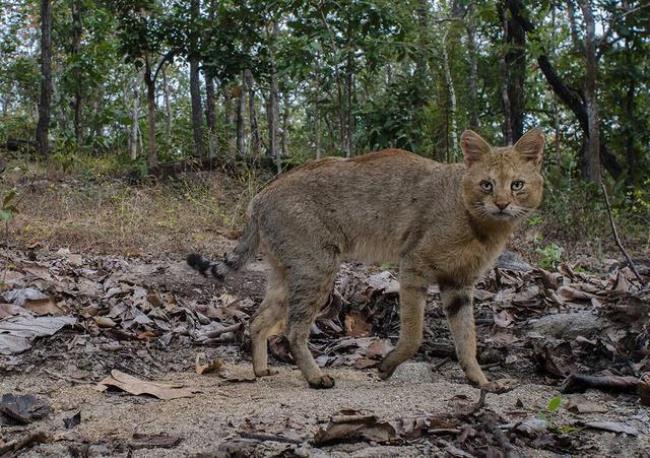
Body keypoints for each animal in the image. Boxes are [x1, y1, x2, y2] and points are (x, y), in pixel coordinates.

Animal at [186, 128, 540, 390]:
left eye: (517, 185)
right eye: (486, 185)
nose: (502, 204)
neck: (480, 224)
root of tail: (260, 196)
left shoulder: (460, 285)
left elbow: (467, 339)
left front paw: (480, 381)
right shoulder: (413, 266)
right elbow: (414, 334)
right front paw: (385, 367)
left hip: (288, 273)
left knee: (258, 321)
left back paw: (261, 370)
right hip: (318, 269)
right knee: (293, 330)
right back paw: (315, 377)